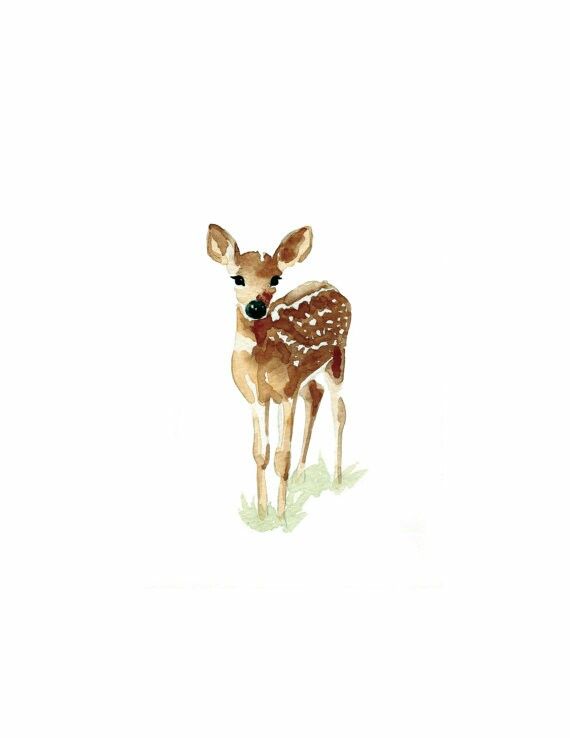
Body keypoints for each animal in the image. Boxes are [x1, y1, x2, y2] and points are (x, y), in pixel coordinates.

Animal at [207, 224, 351, 519]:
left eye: (276, 278)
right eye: (237, 278)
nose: (256, 307)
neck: (260, 362)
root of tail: (334, 287)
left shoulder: (286, 392)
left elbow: (282, 456)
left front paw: (282, 517)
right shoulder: (255, 397)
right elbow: (260, 453)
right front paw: (263, 514)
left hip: (337, 358)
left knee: (339, 413)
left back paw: (337, 480)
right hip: (306, 375)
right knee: (315, 397)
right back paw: (300, 476)